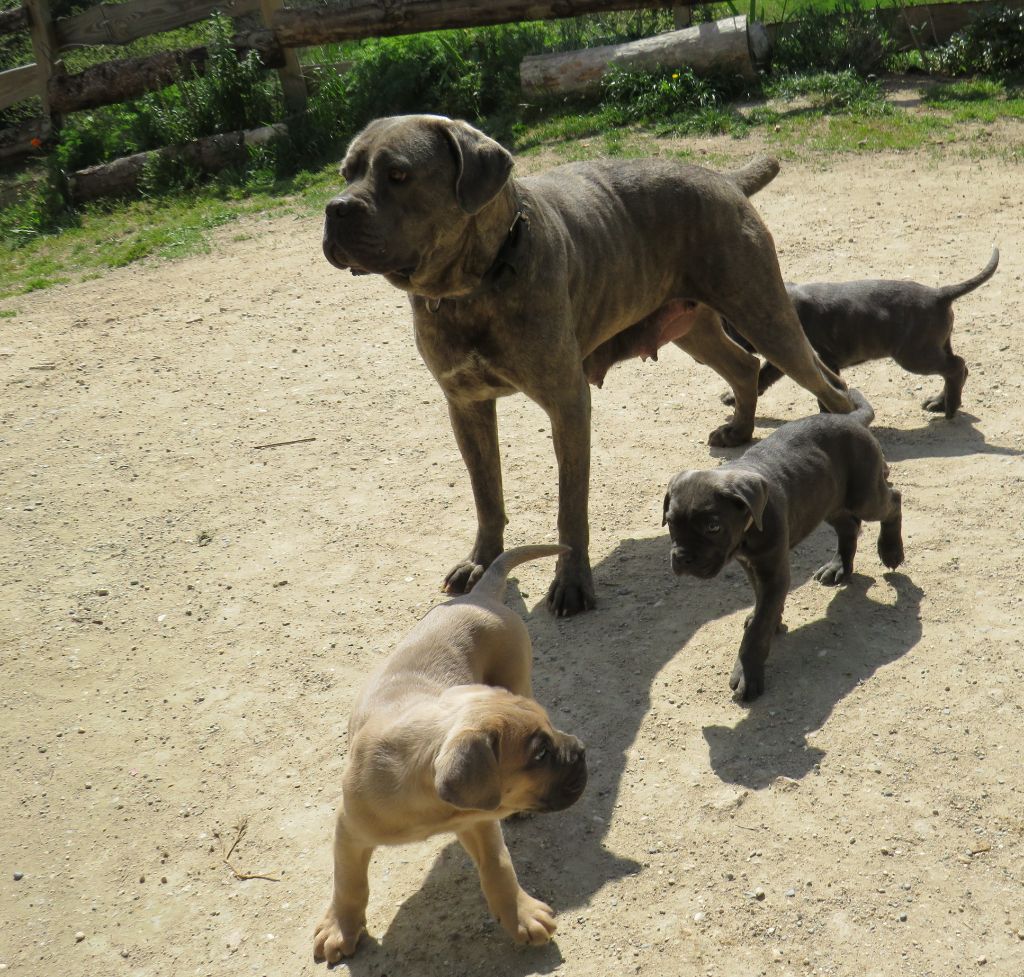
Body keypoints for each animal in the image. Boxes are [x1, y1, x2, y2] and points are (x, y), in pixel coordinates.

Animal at [311, 544, 585, 962]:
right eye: (539, 755)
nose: (583, 751)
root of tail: (481, 596)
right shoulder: (350, 830)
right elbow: (349, 883)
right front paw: (341, 927)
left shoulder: (479, 821)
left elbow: (499, 867)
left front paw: (520, 914)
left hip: (518, 676)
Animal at [323, 116, 851, 618]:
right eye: (346, 172)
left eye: (398, 174)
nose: (335, 208)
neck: (473, 287)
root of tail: (722, 178)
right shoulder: (466, 405)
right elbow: (486, 494)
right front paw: (481, 560)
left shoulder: (567, 403)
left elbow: (570, 507)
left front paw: (572, 583)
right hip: (695, 328)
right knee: (743, 366)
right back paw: (739, 430)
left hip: (763, 314)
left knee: (829, 382)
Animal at [659, 389, 901, 700]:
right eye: (670, 522)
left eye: (713, 526)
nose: (683, 558)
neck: (747, 530)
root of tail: (852, 420)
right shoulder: (753, 566)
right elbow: (762, 602)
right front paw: (771, 619)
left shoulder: (773, 571)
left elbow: (757, 630)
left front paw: (747, 673)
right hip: (827, 503)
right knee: (849, 527)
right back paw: (839, 567)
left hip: (864, 495)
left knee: (893, 501)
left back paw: (891, 550)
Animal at [720, 249, 999, 417]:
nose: (727, 335)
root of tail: (940, 294)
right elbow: (764, 375)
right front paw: (733, 396)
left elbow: (821, 388)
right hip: (936, 347)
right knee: (957, 367)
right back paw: (941, 402)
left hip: (915, 355)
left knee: (955, 367)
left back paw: (949, 407)